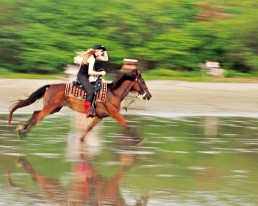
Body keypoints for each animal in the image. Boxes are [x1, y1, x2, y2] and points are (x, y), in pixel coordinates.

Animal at [7, 69, 151, 142]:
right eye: (143, 82)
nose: (149, 95)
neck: (113, 93)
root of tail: (50, 86)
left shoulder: (99, 116)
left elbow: (88, 128)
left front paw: (81, 140)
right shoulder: (114, 113)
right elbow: (125, 124)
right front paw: (137, 139)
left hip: (54, 108)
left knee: (35, 113)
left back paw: (22, 128)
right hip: (50, 108)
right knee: (38, 117)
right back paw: (24, 132)